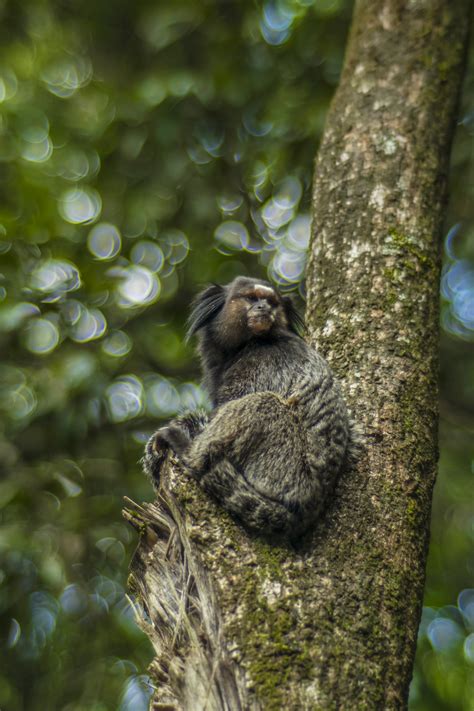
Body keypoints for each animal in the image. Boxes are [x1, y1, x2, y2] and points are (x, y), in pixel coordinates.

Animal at [143, 278, 358, 540]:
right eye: (252, 298)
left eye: (272, 303)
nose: (263, 308)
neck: (245, 345)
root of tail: (309, 503)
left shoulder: (265, 362)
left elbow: (228, 406)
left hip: (284, 467)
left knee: (264, 403)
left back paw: (189, 452)